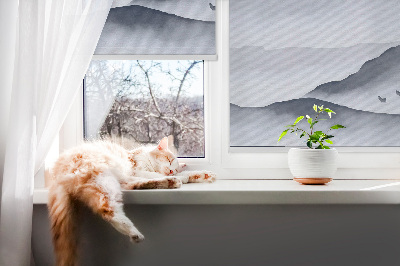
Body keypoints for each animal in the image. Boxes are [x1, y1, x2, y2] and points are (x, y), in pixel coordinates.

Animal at [47, 137, 216, 266]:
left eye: (174, 166)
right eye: (169, 160)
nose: (171, 171)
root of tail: (56, 172)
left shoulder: (135, 174)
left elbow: (185, 174)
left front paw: (203, 175)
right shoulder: (137, 169)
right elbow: (153, 174)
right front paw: (182, 176)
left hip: (114, 181)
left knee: (134, 186)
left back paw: (170, 182)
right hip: (103, 178)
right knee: (107, 209)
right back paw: (134, 232)